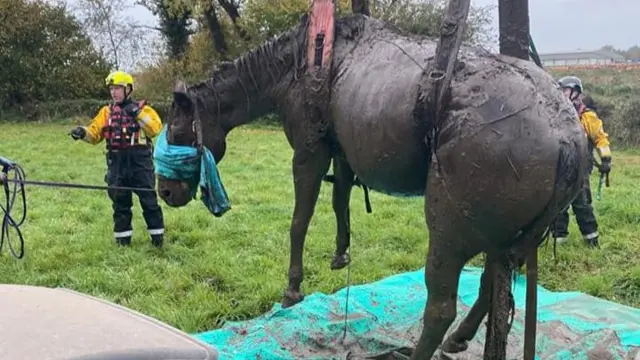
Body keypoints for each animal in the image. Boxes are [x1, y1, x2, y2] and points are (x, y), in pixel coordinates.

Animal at [158, 12, 588, 358]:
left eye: (178, 131)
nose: (164, 192)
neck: (294, 65)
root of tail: (570, 140)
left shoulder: (310, 150)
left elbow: (299, 220)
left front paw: (293, 288)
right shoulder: (343, 153)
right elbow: (339, 201)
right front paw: (340, 254)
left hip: (449, 231)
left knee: (441, 308)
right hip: (508, 240)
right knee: (491, 287)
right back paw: (460, 338)